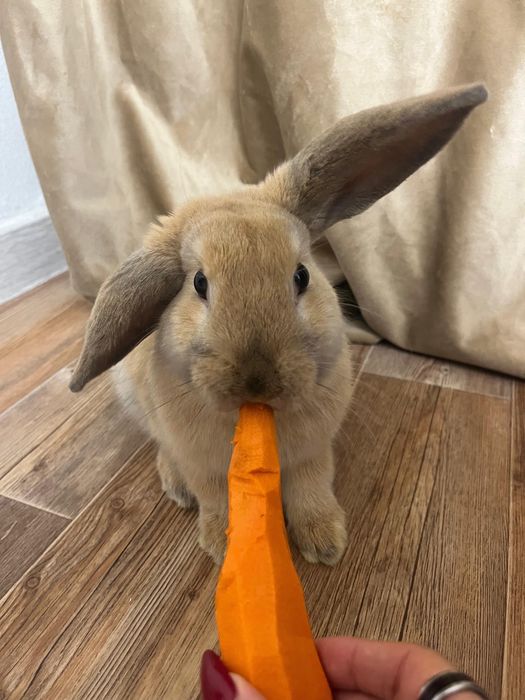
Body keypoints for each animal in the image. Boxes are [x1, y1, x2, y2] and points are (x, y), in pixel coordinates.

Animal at [70, 83, 487, 565]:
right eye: (199, 284)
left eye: (302, 275)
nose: (258, 381)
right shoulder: (203, 464)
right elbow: (215, 497)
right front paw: (222, 546)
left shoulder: (313, 453)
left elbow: (312, 488)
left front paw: (326, 544)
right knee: (163, 450)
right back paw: (176, 487)